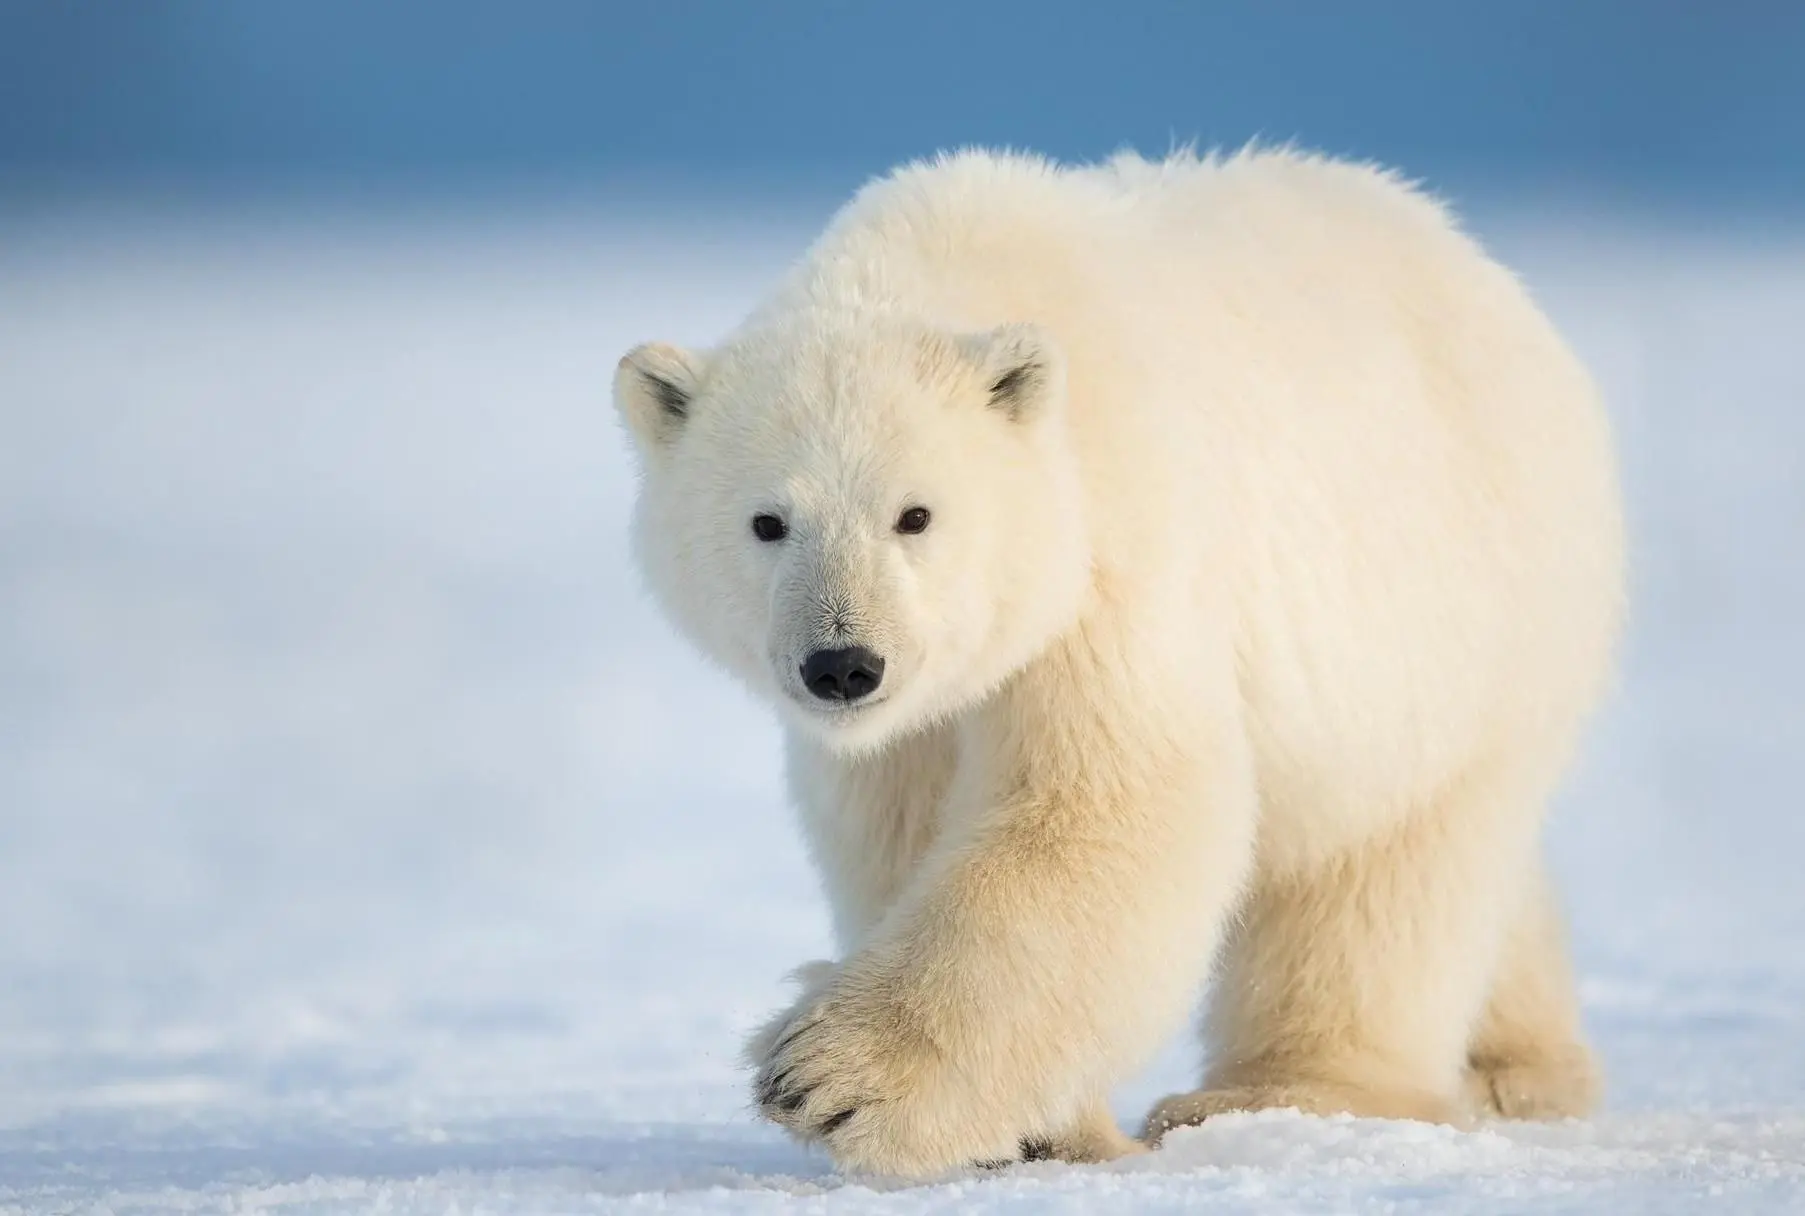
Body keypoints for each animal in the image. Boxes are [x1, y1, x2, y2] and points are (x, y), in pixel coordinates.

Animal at [611, 146, 1623, 1178]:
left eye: (915, 514)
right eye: (767, 522)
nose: (844, 664)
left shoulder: (1114, 559)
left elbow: (1104, 808)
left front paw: (830, 1079)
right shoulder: (910, 724)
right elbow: (899, 834)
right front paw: (1036, 1129)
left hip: (1456, 625)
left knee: (1382, 868)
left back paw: (1283, 1091)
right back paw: (1517, 1065)